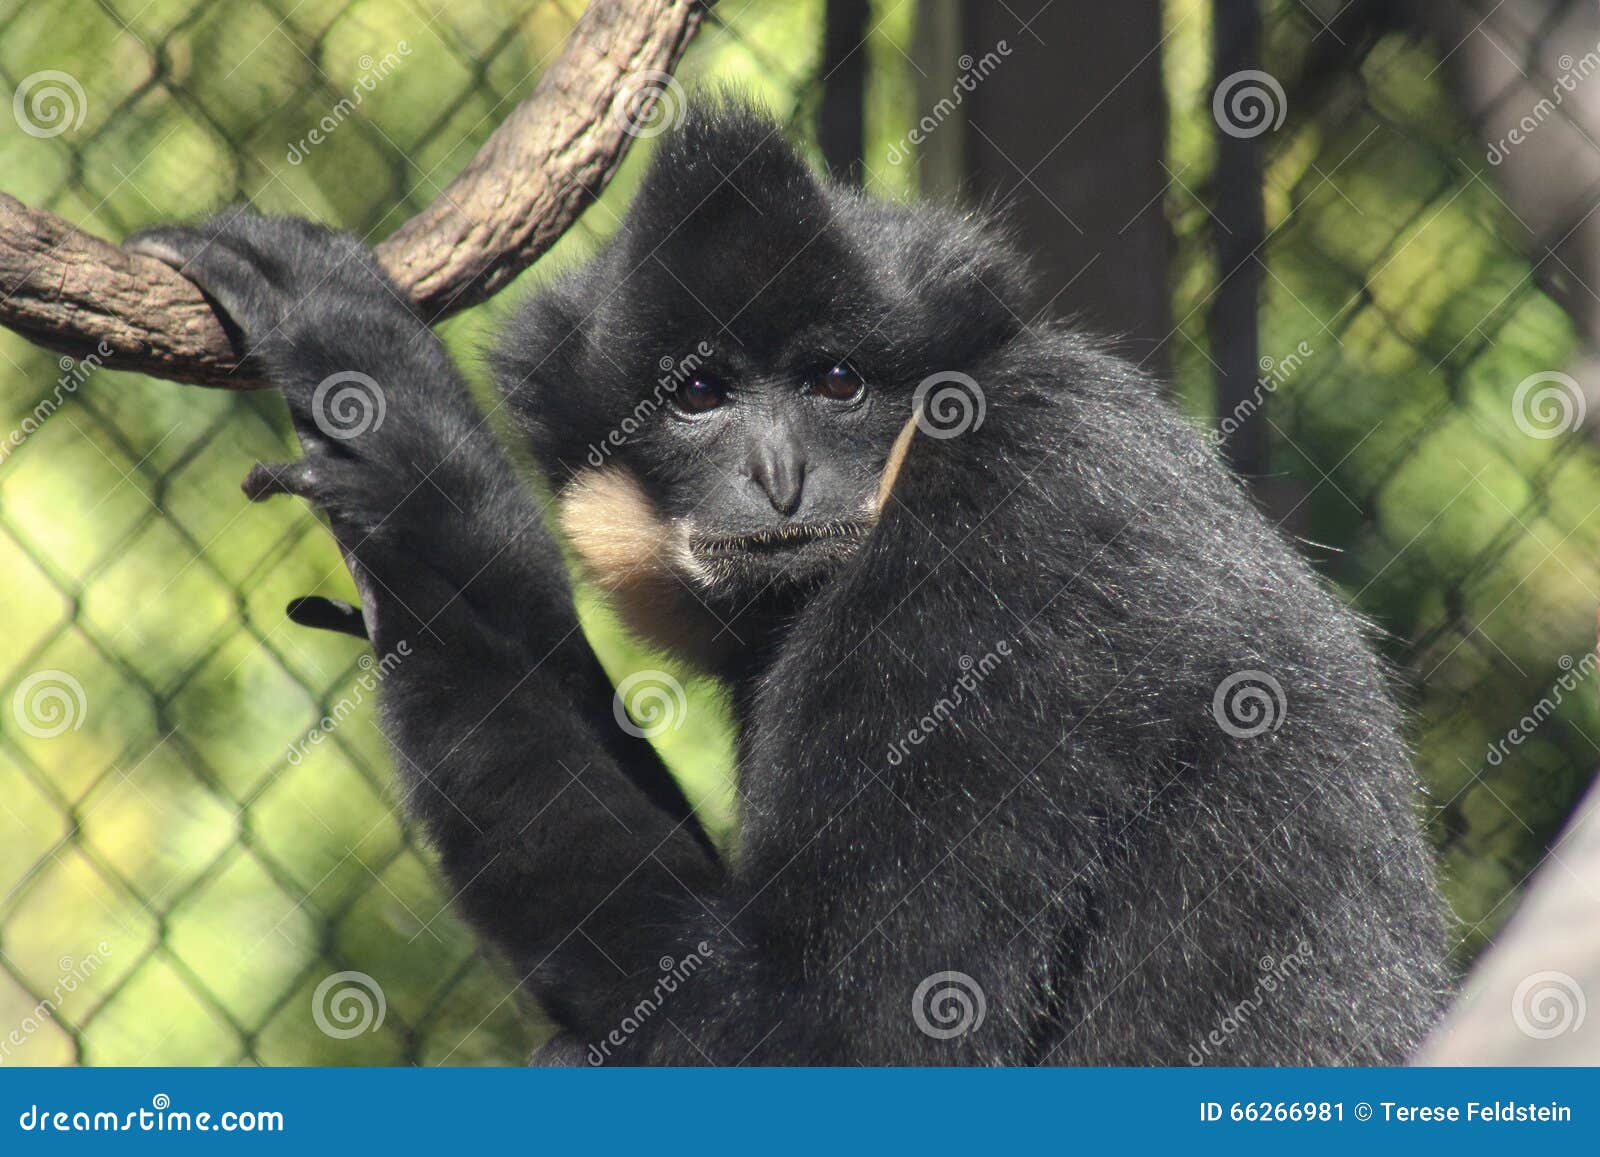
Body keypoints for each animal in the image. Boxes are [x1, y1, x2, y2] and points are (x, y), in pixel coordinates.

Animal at [124, 96, 1451, 1065]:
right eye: (702, 394)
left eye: (835, 382)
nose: (776, 474)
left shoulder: (1008, 546)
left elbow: (835, 1041)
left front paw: (413, 465)